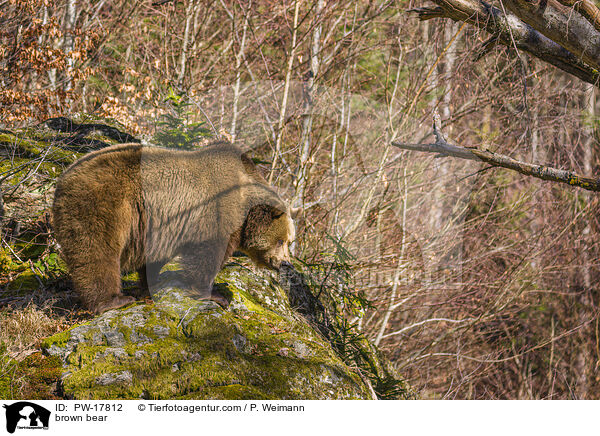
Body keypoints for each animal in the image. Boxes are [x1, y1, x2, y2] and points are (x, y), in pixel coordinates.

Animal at [52, 141, 296, 316]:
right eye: (282, 240)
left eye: (289, 241)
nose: (285, 263)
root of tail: (64, 177)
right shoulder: (215, 212)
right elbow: (206, 256)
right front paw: (215, 295)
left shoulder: (160, 228)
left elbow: (154, 259)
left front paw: (152, 283)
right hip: (104, 203)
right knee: (97, 252)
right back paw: (113, 300)